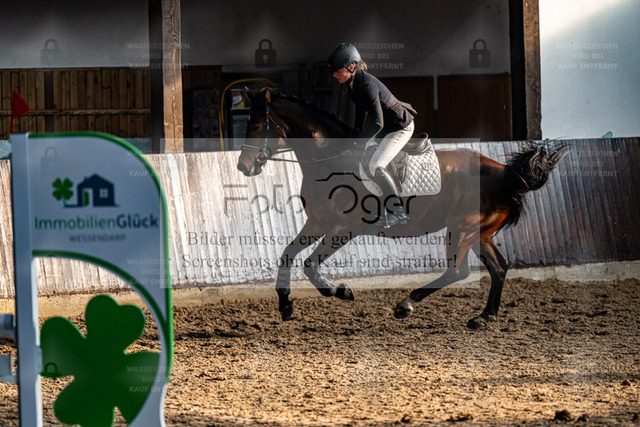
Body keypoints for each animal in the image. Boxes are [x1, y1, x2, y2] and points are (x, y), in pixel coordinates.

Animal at [236, 88, 567, 329]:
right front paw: (285, 305)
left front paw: (339, 291)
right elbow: (287, 255)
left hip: (461, 229)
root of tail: (504, 173)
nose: (243, 166)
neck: (328, 158)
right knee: (498, 267)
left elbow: (309, 264)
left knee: (457, 272)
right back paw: (484, 317)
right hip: (479, 233)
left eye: (256, 125)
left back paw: (406, 304)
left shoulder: (344, 228)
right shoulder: (318, 222)